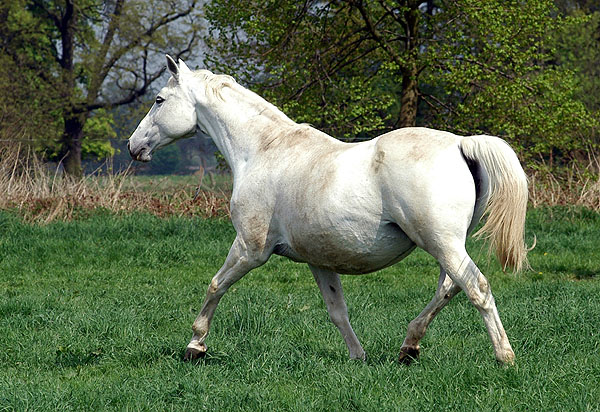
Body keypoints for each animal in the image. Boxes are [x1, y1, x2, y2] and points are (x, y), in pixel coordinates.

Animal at [129, 54, 528, 364]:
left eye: (160, 100)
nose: (135, 146)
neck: (262, 151)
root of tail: (462, 144)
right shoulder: (319, 259)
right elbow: (337, 311)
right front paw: (358, 357)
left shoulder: (250, 249)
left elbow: (215, 286)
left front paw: (195, 346)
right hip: (447, 245)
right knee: (449, 289)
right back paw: (408, 347)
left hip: (442, 243)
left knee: (476, 287)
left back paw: (504, 356)